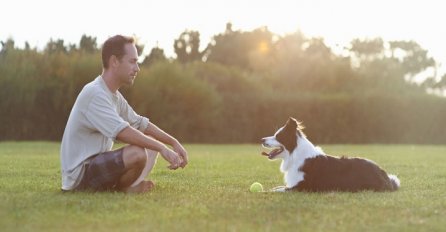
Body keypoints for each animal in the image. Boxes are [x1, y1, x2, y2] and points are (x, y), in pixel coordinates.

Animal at [262, 118, 400, 192]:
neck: (295, 155)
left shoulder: (302, 187)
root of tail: (383, 173)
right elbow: (279, 187)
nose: (262, 139)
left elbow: (280, 189)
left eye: (278, 136)